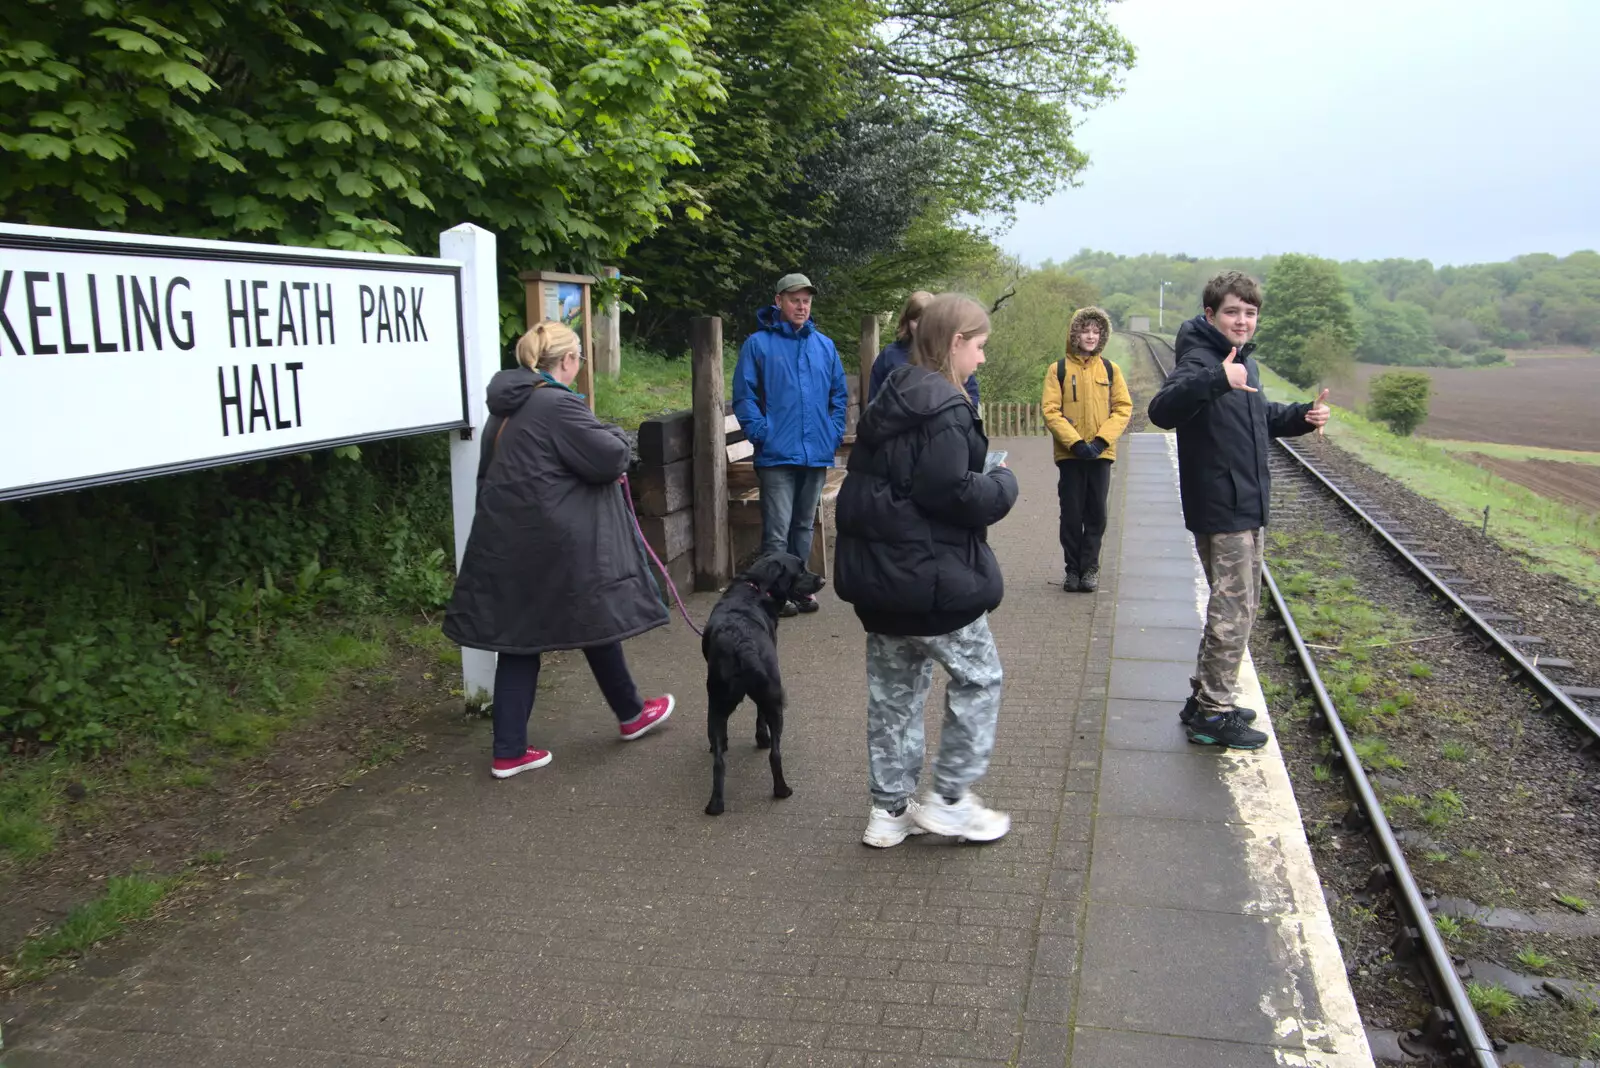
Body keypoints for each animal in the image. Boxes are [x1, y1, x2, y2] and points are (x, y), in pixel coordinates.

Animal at [704, 556, 825, 812]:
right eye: (800, 570)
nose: (823, 580)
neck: (754, 587)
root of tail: (741, 642)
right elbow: (760, 718)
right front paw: (762, 739)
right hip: (774, 702)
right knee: (775, 755)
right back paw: (782, 790)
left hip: (716, 703)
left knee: (719, 761)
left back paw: (716, 804)